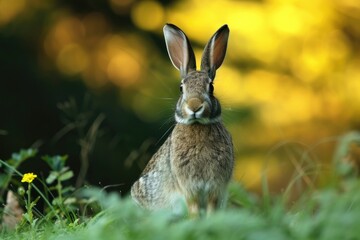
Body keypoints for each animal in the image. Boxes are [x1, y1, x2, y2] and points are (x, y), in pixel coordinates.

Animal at [131, 23, 235, 217]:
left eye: (211, 87)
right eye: (181, 88)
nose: (194, 107)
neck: (198, 125)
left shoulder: (215, 189)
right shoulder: (189, 188)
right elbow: (193, 209)